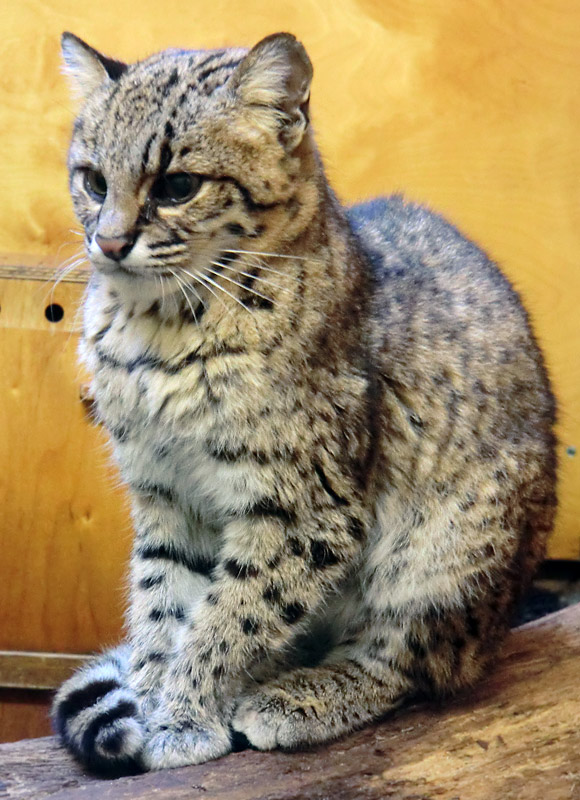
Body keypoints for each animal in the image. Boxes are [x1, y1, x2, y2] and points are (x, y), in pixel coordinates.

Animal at [53, 32, 556, 776]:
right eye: (92, 180)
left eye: (177, 185)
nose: (109, 244)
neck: (156, 333)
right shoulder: (164, 492)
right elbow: (160, 603)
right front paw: (149, 697)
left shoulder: (303, 506)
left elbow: (230, 613)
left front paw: (180, 717)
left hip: (444, 550)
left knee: (413, 663)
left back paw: (300, 696)